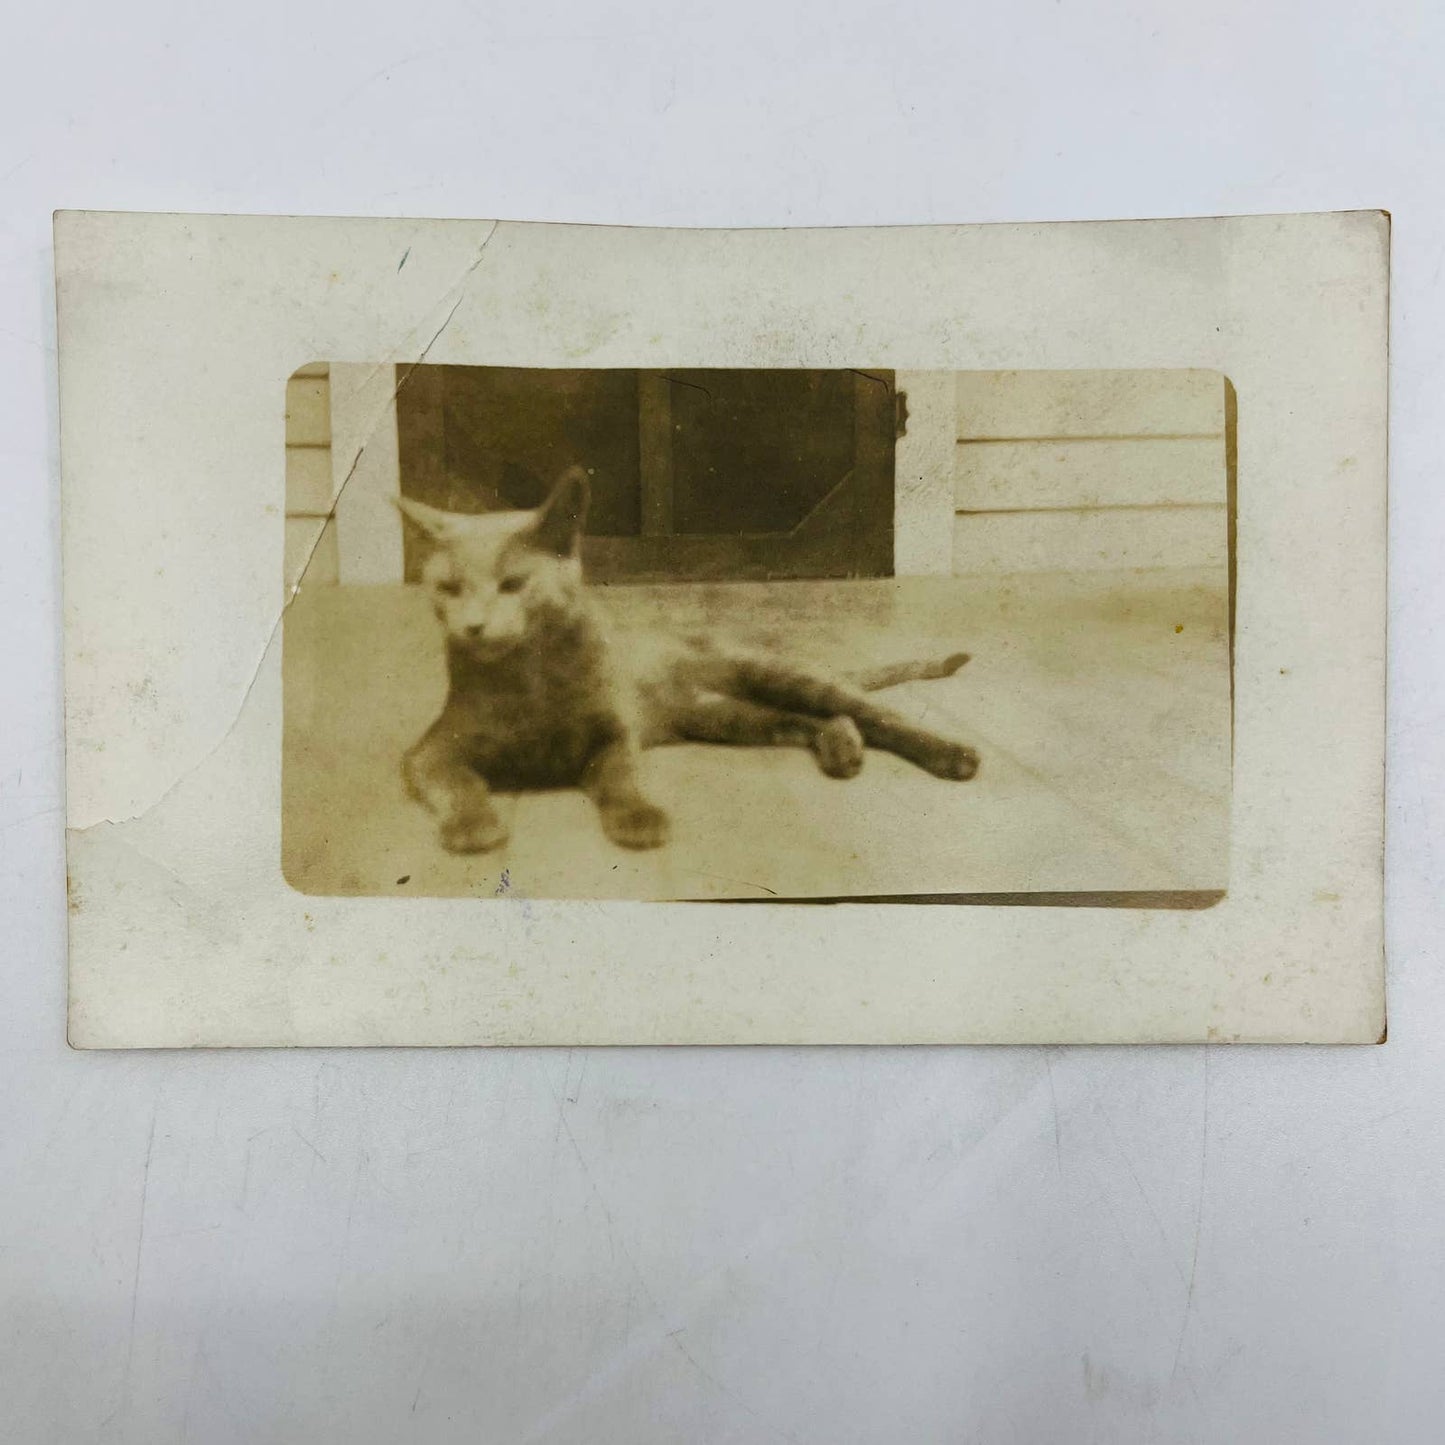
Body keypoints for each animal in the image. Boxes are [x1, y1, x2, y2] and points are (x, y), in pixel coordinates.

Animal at [401, 462, 976, 849]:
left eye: (513, 584)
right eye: (448, 588)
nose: (473, 625)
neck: (530, 676)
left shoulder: (615, 735)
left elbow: (621, 779)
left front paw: (639, 820)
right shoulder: (429, 752)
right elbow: (457, 783)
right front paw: (474, 826)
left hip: (778, 677)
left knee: (878, 714)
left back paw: (953, 755)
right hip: (725, 716)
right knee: (810, 720)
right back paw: (842, 749)